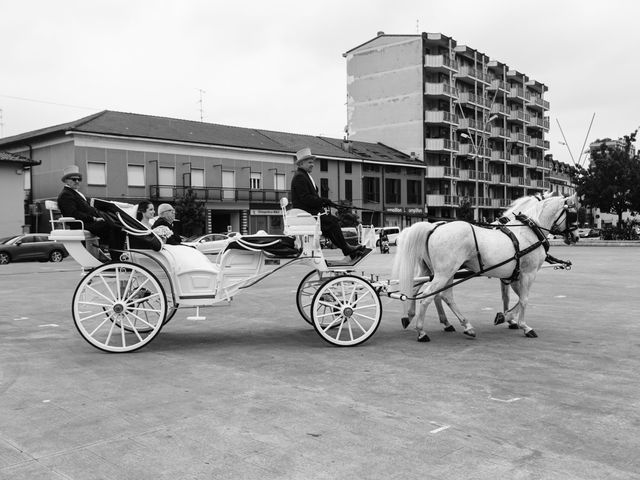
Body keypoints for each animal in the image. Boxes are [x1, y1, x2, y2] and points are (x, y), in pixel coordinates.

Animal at [396, 192, 580, 342]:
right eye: (573, 215)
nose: (576, 237)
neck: (528, 231)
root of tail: (433, 229)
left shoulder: (513, 275)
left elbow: (512, 297)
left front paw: (507, 317)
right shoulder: (528, 273)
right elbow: (524, 299)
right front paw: (522, 325)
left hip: (438, 271)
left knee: (431, 292)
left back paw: (458, 325)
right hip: (444, 273)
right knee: (428, 296)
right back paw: (421, 331)